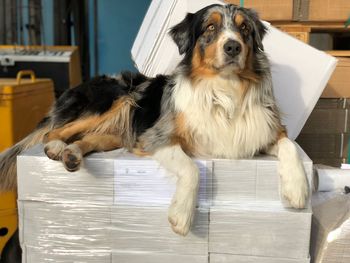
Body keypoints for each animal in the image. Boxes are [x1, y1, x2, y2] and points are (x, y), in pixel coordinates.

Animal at [0, 3, 308, 236]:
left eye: (244, 29)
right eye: (210, 27)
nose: (233, 47)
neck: (224, 91)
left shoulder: (264, 130)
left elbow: (290, 145)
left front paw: (298, 189)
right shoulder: (157, 136)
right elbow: (191, 169)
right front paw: (181, 215)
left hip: (118, 132)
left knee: (87, 139)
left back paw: (72, 154)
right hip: (118, 97)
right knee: (54, 131)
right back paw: (55, 148)